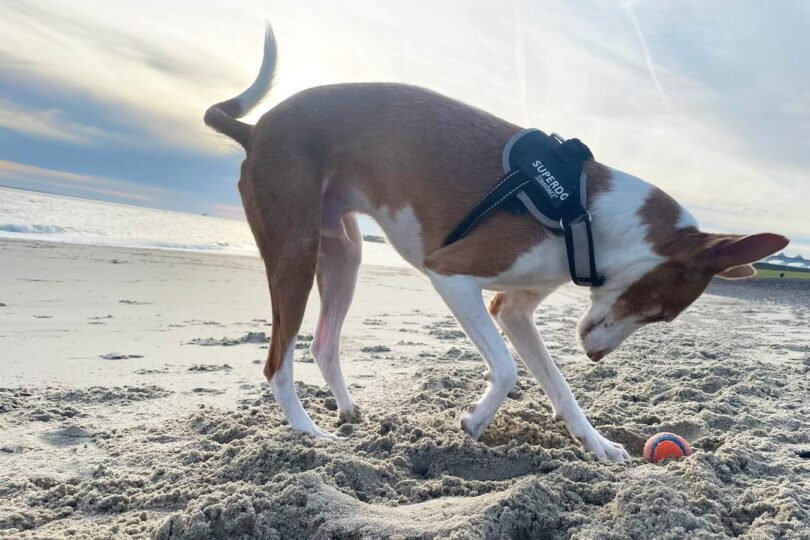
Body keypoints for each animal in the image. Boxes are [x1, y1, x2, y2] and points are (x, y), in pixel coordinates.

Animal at [205, 27, 784, 462]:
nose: (595, 357)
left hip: (343, 253)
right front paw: (475, 421)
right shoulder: (451, 274)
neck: (586, 209)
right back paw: (310, 434)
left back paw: (347, 415)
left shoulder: (513, 310)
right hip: (296, 251)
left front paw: (596, 443)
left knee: (324, 345)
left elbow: (558, 385)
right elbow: (507, 369)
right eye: (659, 311)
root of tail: (255, 129)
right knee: (277, 361)